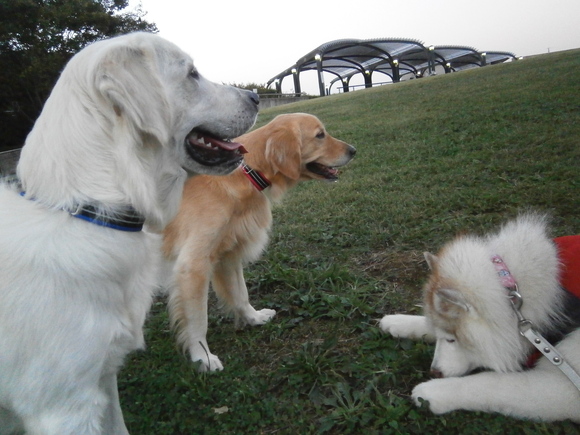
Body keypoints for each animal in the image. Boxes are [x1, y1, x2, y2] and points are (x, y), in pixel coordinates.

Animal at [161, 112, 356, 372]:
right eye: (320, 135)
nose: (354, 150)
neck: (246, 172)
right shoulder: (193, 266)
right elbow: (198, 319)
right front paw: (203, 357)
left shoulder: (228, 254)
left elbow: (241, 294)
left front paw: (254, 319)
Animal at [380, 216, 580, 424]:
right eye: (443, 336)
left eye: (452, 340)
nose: (434, 372)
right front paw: (397, 322)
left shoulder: (564, 388)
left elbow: (490, 383)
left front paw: (431, 391)